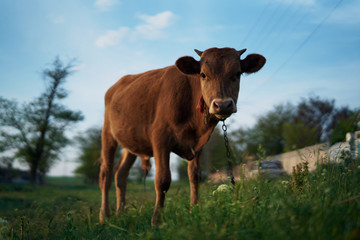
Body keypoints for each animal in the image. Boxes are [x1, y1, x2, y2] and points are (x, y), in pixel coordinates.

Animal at [97, 47, 264, 225]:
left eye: (238, 73)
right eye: (203, 74)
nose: (223, 104)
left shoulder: (198, 145)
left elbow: (195, 176)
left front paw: (195, 211)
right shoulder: (160, 138)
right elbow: (162, 180)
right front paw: (157, 220)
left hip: (131, 143)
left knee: (120, 174)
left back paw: (119, 214)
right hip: (107, 135)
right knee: (105, 175)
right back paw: (104, 216)